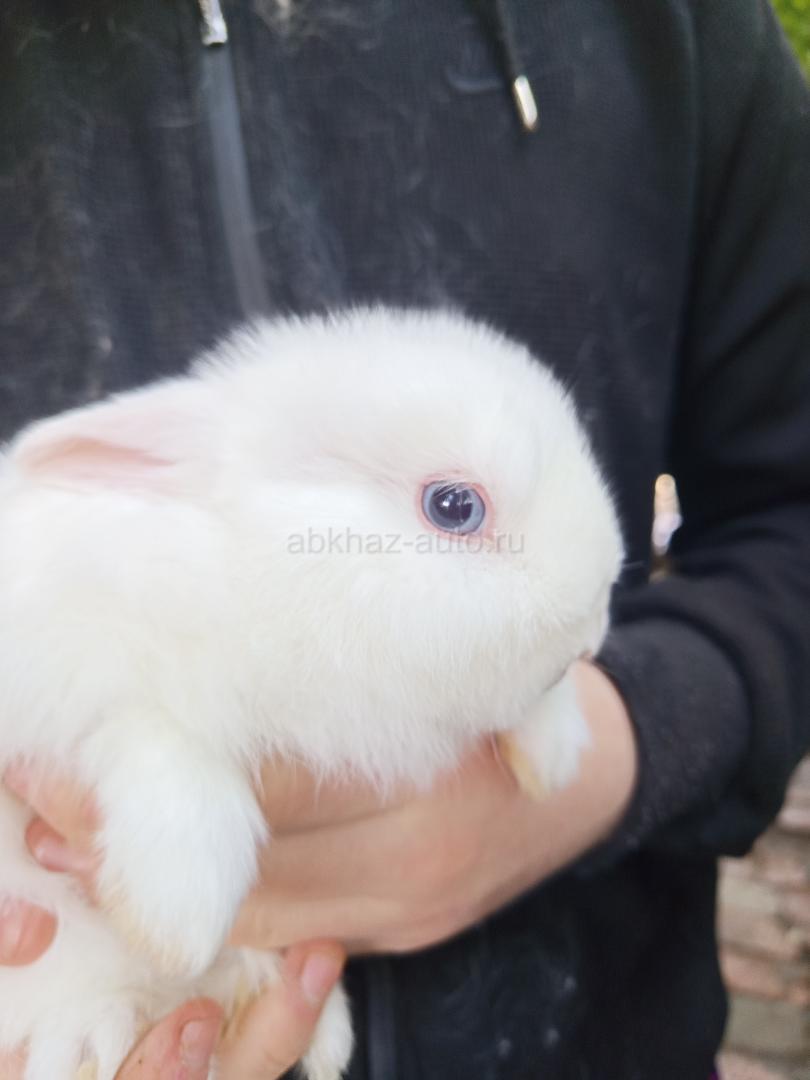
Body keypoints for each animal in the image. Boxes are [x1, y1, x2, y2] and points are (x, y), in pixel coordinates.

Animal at [0, 307, 623, 1080]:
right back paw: (91, 1035)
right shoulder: (80, 671)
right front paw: (180, 918)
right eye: (454, 506)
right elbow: (160, 745)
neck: (266, 568)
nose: (592, 631)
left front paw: (553, 758)